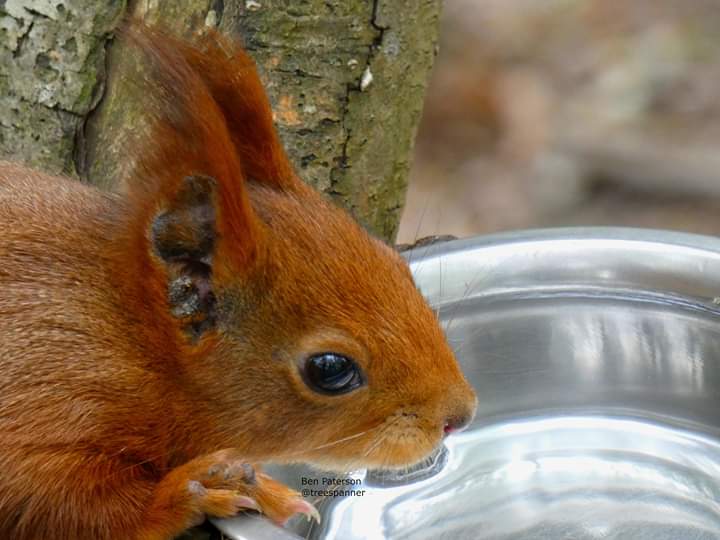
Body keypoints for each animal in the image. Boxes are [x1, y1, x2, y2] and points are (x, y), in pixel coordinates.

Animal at [0, 23, 478, 540]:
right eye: (330, 369)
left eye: (396, 262)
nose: (460, 415)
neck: (134, 338)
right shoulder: (51, 389)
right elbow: (55, 502)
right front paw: (189, 492)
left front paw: (262, 488)